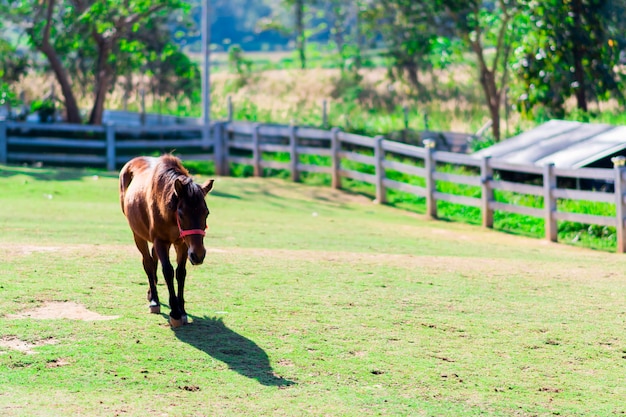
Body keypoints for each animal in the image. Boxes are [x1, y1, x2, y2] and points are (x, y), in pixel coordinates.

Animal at [119, 154, 214, 326]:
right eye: (181, 213)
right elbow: (168, 271)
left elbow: (180, 272)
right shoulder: (161, 241)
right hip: (138, 235)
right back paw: (154, 300)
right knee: (148, 262)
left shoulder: (183, 244)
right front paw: (175, 312)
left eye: (206, 212)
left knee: (153, 259)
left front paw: (182, 310)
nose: (198, 255)